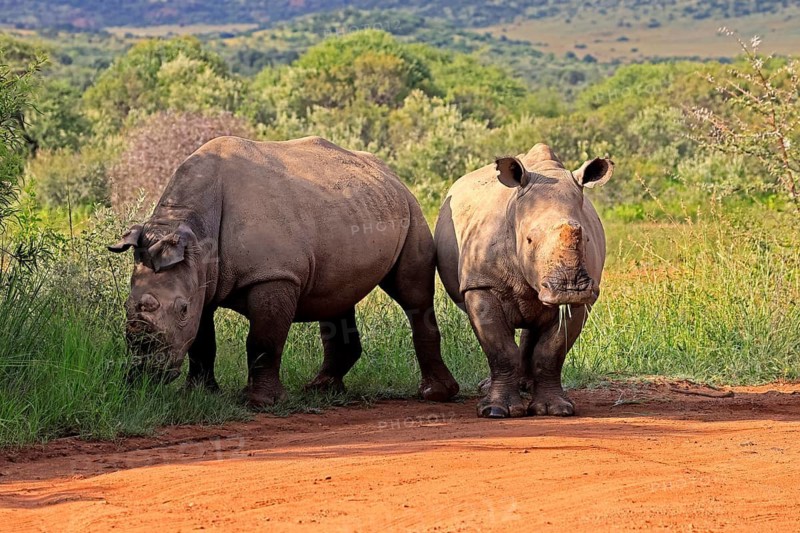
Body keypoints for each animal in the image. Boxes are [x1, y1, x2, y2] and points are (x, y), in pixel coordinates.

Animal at [109, 135, 459, 407]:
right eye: (126, 306)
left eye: (180, 309)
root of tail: (390, 173)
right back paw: (321, 390)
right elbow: (201, 340)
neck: (191, 228)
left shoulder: (274, 275)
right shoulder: (201, 278)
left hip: (411, 209)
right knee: (337, 296)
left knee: (413, 295)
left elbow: (263, 339)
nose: (143, 374)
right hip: (354, 207)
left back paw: (434, 395)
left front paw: (261, 402)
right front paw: (198, 395)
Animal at [434, 144, 613, 418]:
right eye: (529, 240)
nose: (570, 289)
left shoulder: (584, 298)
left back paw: (526, 387)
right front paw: (496, 411)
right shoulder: (481, 284)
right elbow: (499, 348)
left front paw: (555, 409)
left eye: (585, 238)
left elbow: (550, 352)